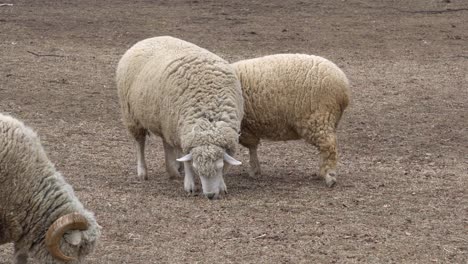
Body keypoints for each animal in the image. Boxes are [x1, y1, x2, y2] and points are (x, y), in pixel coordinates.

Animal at [116, 36, 245, 199]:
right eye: (197, 169)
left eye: (219, 167)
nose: (209, 195)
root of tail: (147, 39)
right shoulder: (185, 134)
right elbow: (187, 162)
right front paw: (189, 185)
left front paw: (221, 185)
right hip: (132, 116)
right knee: (140, 143)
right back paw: (142, 172)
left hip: (166, 121)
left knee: (166, 143)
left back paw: (173, 169)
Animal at [232, 53, 350, 187]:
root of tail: (343, 86)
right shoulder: (246, 127)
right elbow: (252, 147)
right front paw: (255, 170)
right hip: (327, 120)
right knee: (324, 148)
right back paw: (322, 172)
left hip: (319, 118)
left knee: (329, 145)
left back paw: (330, 176)